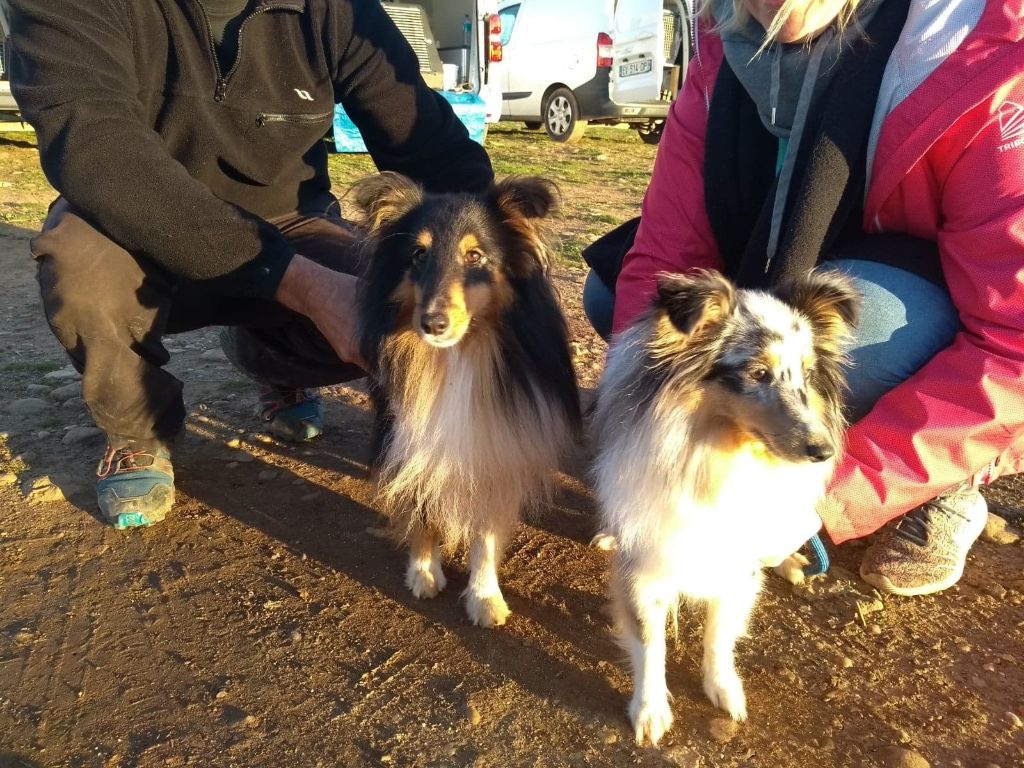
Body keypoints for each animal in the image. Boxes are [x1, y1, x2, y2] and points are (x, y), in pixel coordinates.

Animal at [352, 174, 581, 630]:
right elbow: (423, 506)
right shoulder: (413, 439)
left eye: (475, 255)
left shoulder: (494, 447)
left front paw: (484, 597)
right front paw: (424, 572)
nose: (433, 324)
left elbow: (486, 533)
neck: (456, 357)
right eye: (418, 254)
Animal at [598, 268, 860, 745]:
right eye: (758, 373)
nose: (824, 451)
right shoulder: (646, 566)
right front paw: (650, 711)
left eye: (808, 374)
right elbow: (649, 642)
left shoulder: (737, 563)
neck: (722, 455)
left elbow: (720, 634)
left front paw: (723, 689)